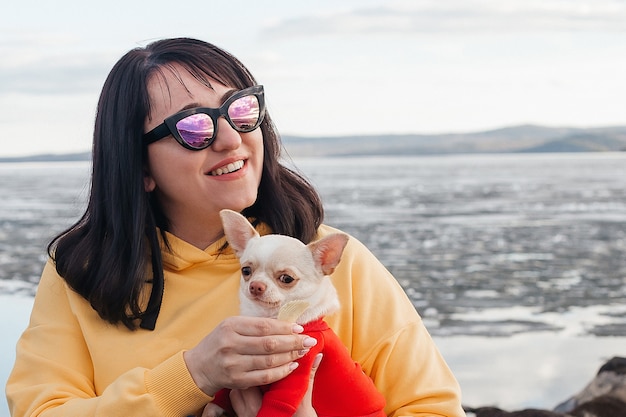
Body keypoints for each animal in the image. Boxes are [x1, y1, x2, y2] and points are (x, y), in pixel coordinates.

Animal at [202, 210, 382, 416]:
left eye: (286, 278)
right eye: (246, 271)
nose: (256, 285)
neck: (270, 317)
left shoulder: (298, 368)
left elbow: (278, 403)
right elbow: (225, 390)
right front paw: (213, 407)